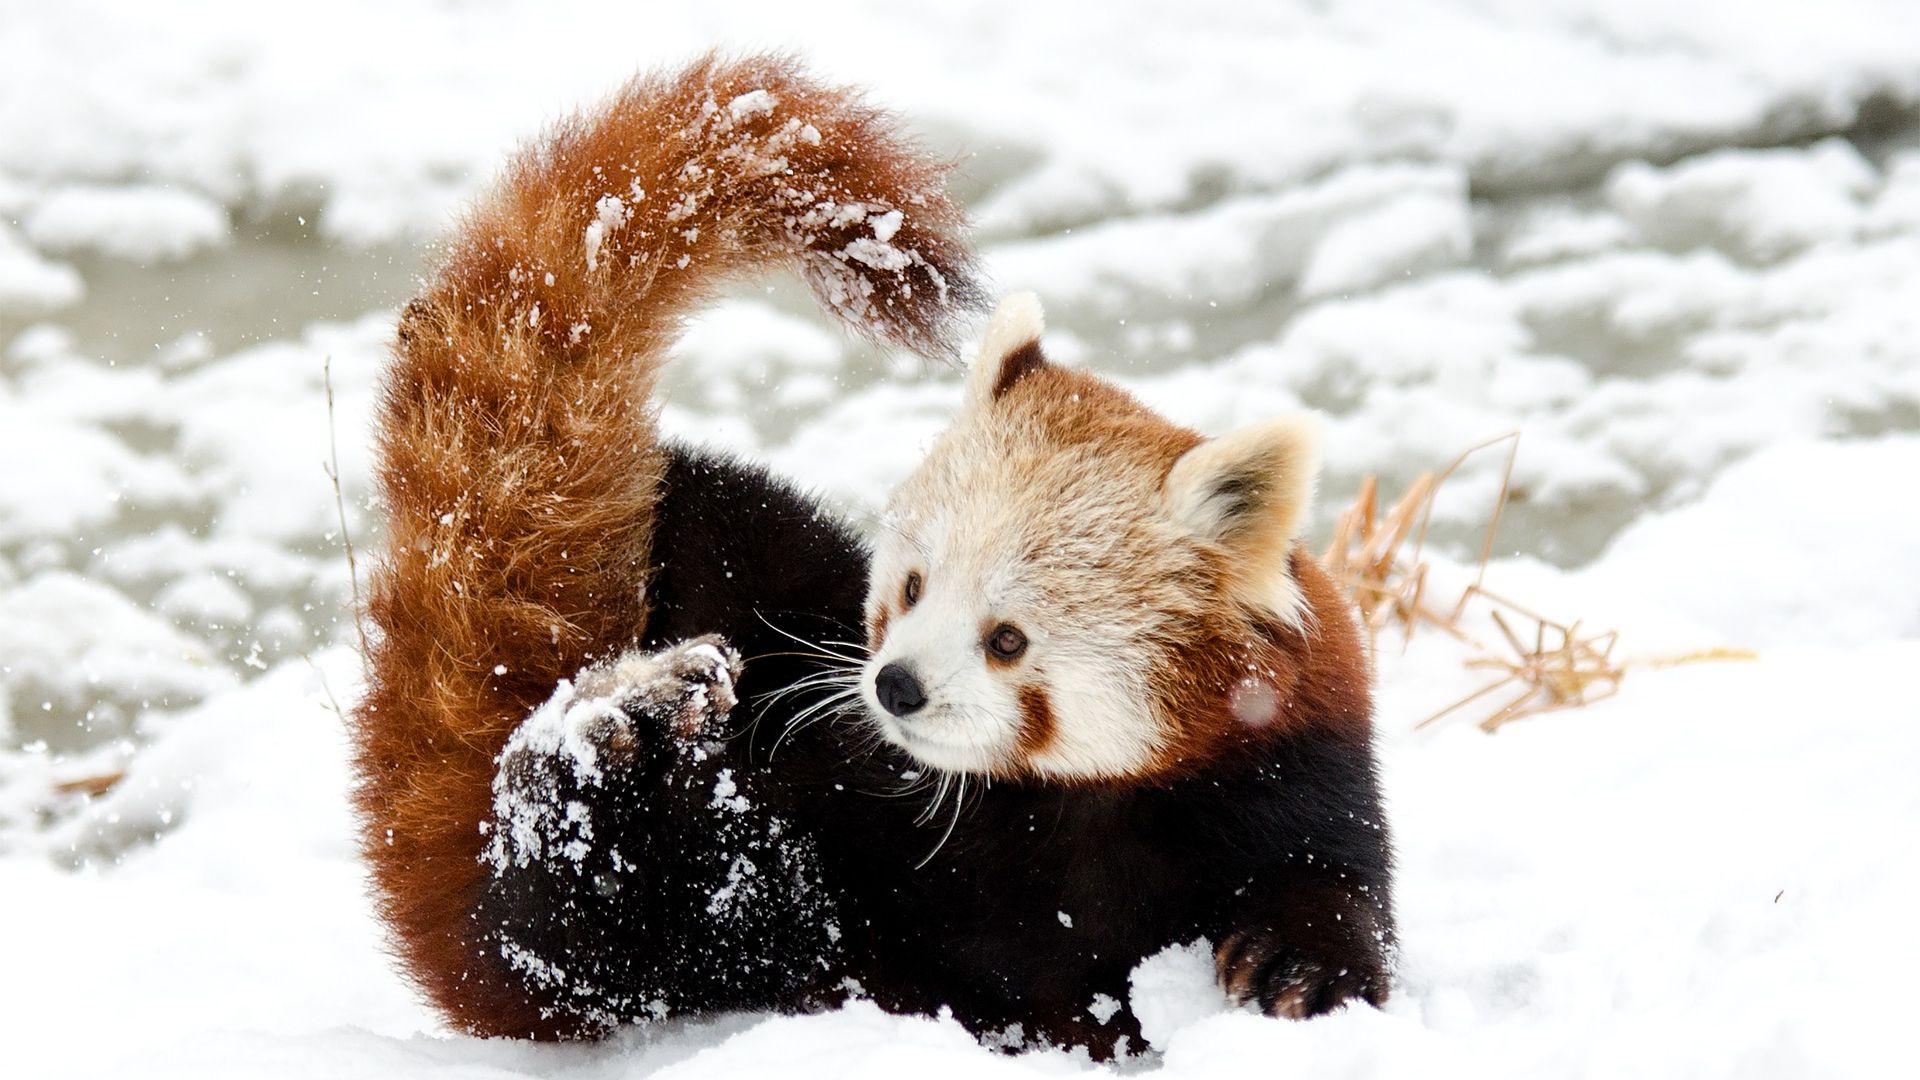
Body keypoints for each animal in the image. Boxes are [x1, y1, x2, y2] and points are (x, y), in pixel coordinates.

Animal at [349, 50, 1397, 1053]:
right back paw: (620, 721)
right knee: (578, 914)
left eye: (1007, 639)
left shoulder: (1293, 770)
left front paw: (1298, 968)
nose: (894, 687)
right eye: (912, 587)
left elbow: (1330, 890)